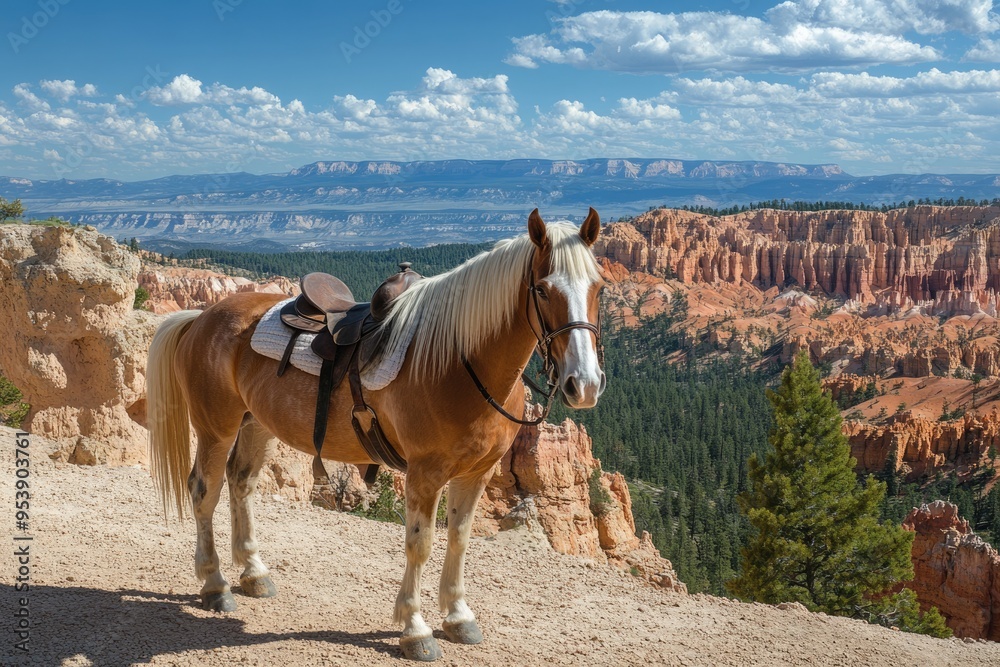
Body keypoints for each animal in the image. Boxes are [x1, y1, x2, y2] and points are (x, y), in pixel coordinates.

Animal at [145, 208, 607, 661]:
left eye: (599, 287)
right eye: (543, 290)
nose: (583, 384)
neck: (459, 360)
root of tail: (204, 316)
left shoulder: (477, 472)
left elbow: (459, 538)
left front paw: (458, 617)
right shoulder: (425, 473)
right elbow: (421, 544)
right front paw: (416, 629)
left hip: (256, 424)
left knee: (241, 483)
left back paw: (254, 573)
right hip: (216, 427)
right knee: (204, 491)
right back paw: (215, 585)